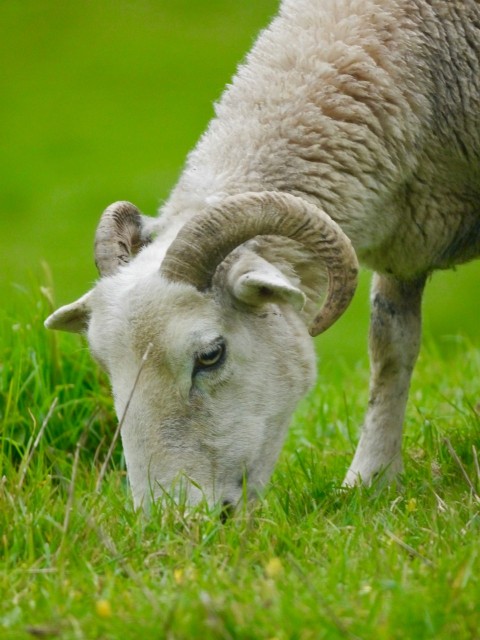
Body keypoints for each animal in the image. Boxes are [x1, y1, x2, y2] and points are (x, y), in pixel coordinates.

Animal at [43, 0, 478, 510]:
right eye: (105, 365)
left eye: (211, 355)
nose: (173, 520)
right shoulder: (405, 247)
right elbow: (391, 348)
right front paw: (372, 478)